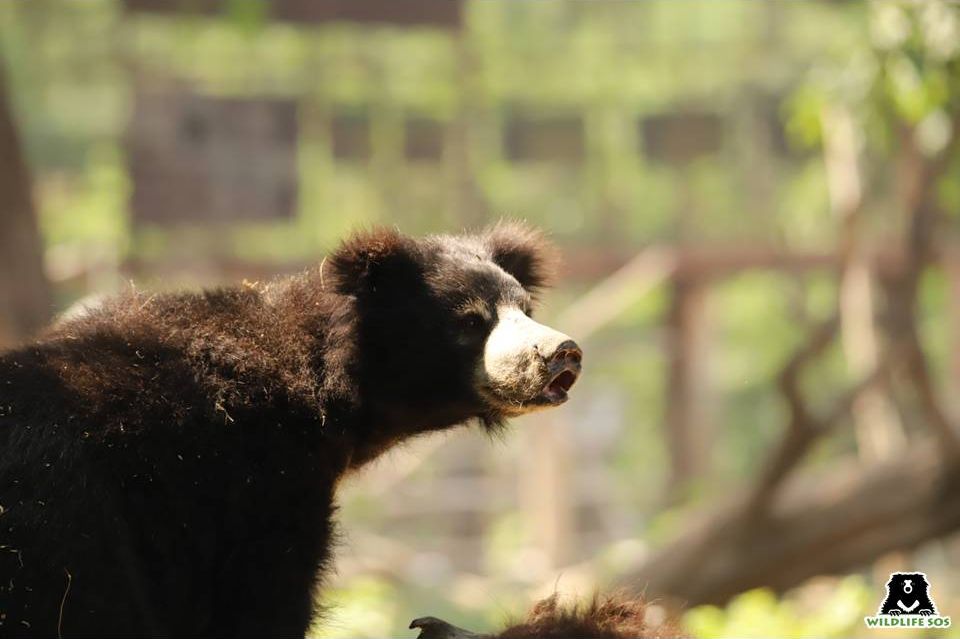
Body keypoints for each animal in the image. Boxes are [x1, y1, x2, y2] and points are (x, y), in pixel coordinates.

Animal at [0, 222, 580, 636]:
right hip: (66, 531)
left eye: (525, 308)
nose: (564, 353)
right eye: (470, 322)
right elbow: (264, 594)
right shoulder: (261, 480)